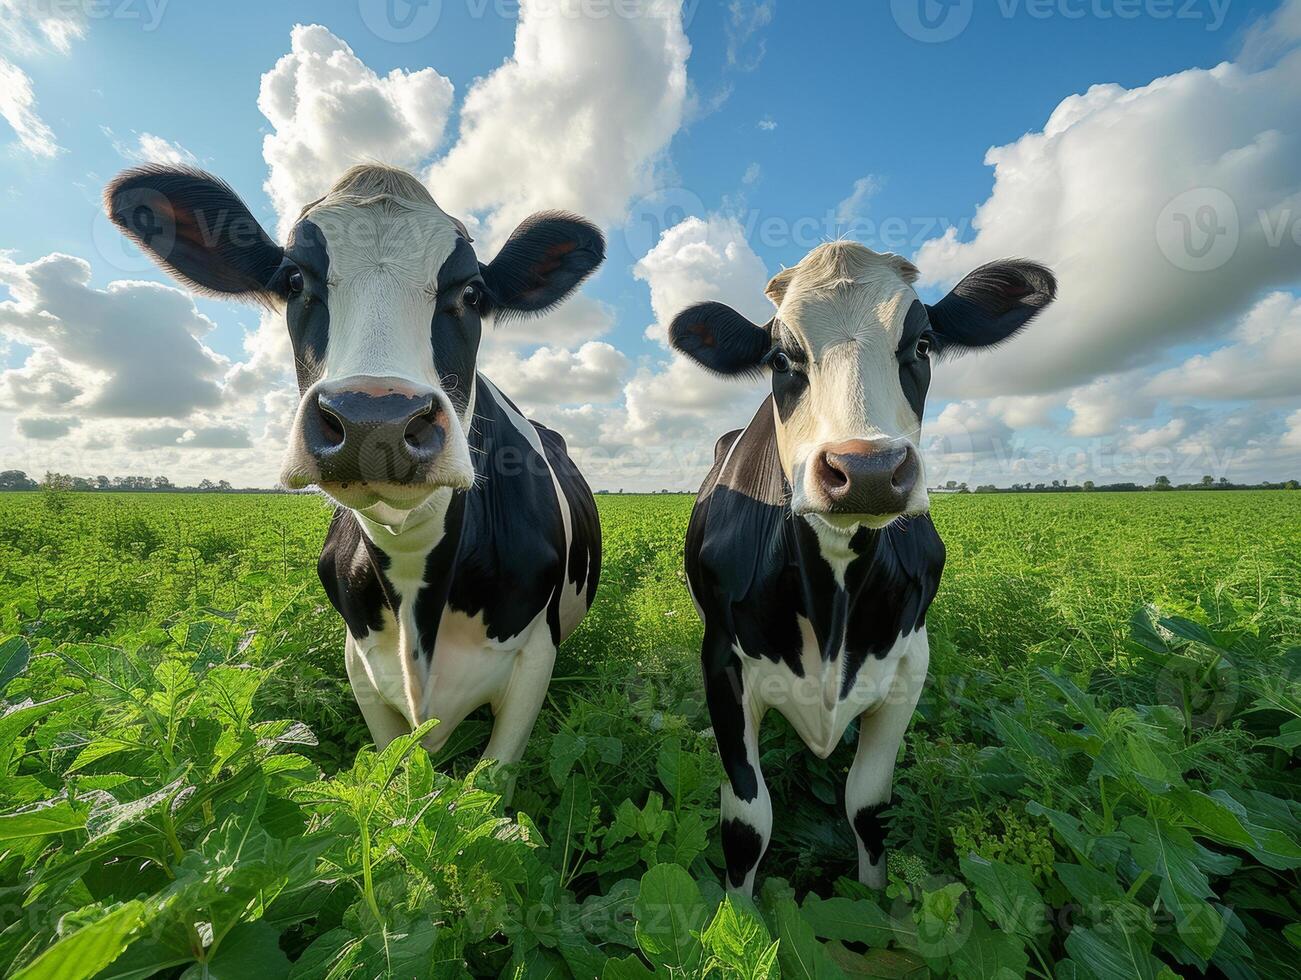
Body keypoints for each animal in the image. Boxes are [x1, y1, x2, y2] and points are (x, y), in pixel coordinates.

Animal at [105, 164, 603, 786]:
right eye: (294, 280)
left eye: (471, 293)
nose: (375, 420)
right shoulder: (362, 669)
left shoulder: (534, 659)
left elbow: (488, 789)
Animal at [666, 240, 1051, 890]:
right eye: (779, 356)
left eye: (922, 344)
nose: (866, 470)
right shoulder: (721, 659)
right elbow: (747, 824)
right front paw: (738, 905)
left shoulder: (910, 663)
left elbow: (869, 808)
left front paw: (878, 897)